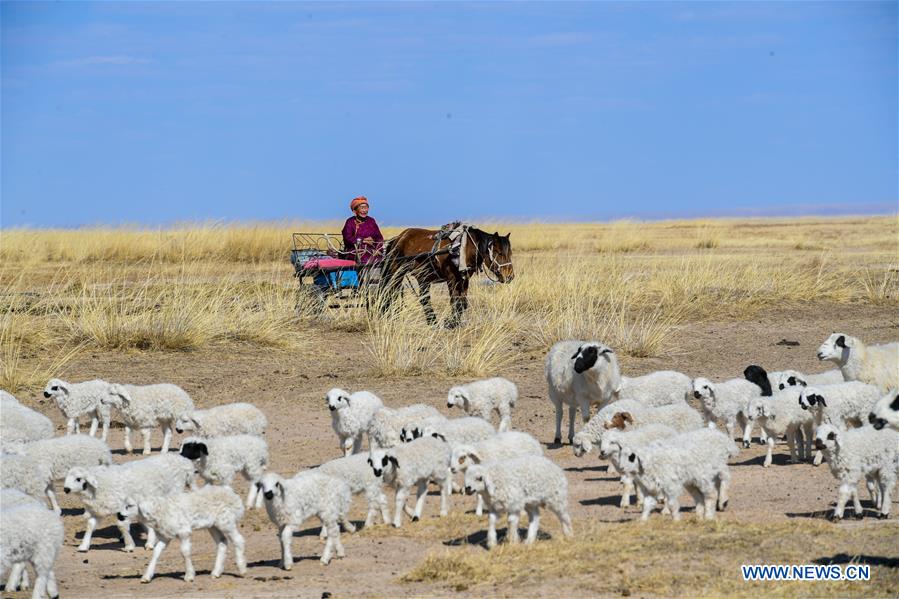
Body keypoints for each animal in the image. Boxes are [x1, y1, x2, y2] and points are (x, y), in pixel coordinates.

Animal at [62, 453, 195, 552]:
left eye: (78, 479)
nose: (66, 489)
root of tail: (184, 461)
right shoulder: (99, 508)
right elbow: (90, 525)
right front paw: (84, 546)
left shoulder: (123, 507)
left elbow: (122, 525)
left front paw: (129, 545)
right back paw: (150, 542)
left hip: (173, 492)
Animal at [118, 485, 247, 583]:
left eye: (129, 505)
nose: (119, 515)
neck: (161, 510)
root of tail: (233, 495)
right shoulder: (165, 536)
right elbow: (156, 553)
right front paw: (146, 576)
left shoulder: (184, 532)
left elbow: (185, 552)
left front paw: (189, 575)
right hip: (213, 525)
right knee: (222, 542)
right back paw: (216, 572)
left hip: (226, 521)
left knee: (239, 540)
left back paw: (242, 569)